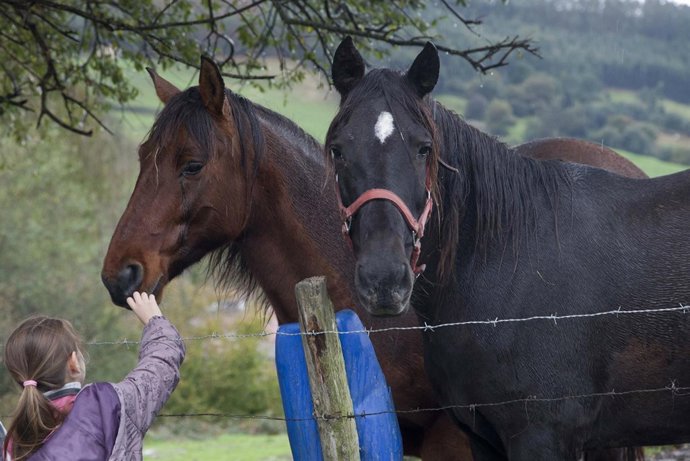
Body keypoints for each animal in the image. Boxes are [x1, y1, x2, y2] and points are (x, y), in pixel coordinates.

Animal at [326, 37, 689, 460]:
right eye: (338, 150)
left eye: (423, 148)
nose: (384, 280)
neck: (509, 262)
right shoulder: (483, 438)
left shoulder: (542, 436)